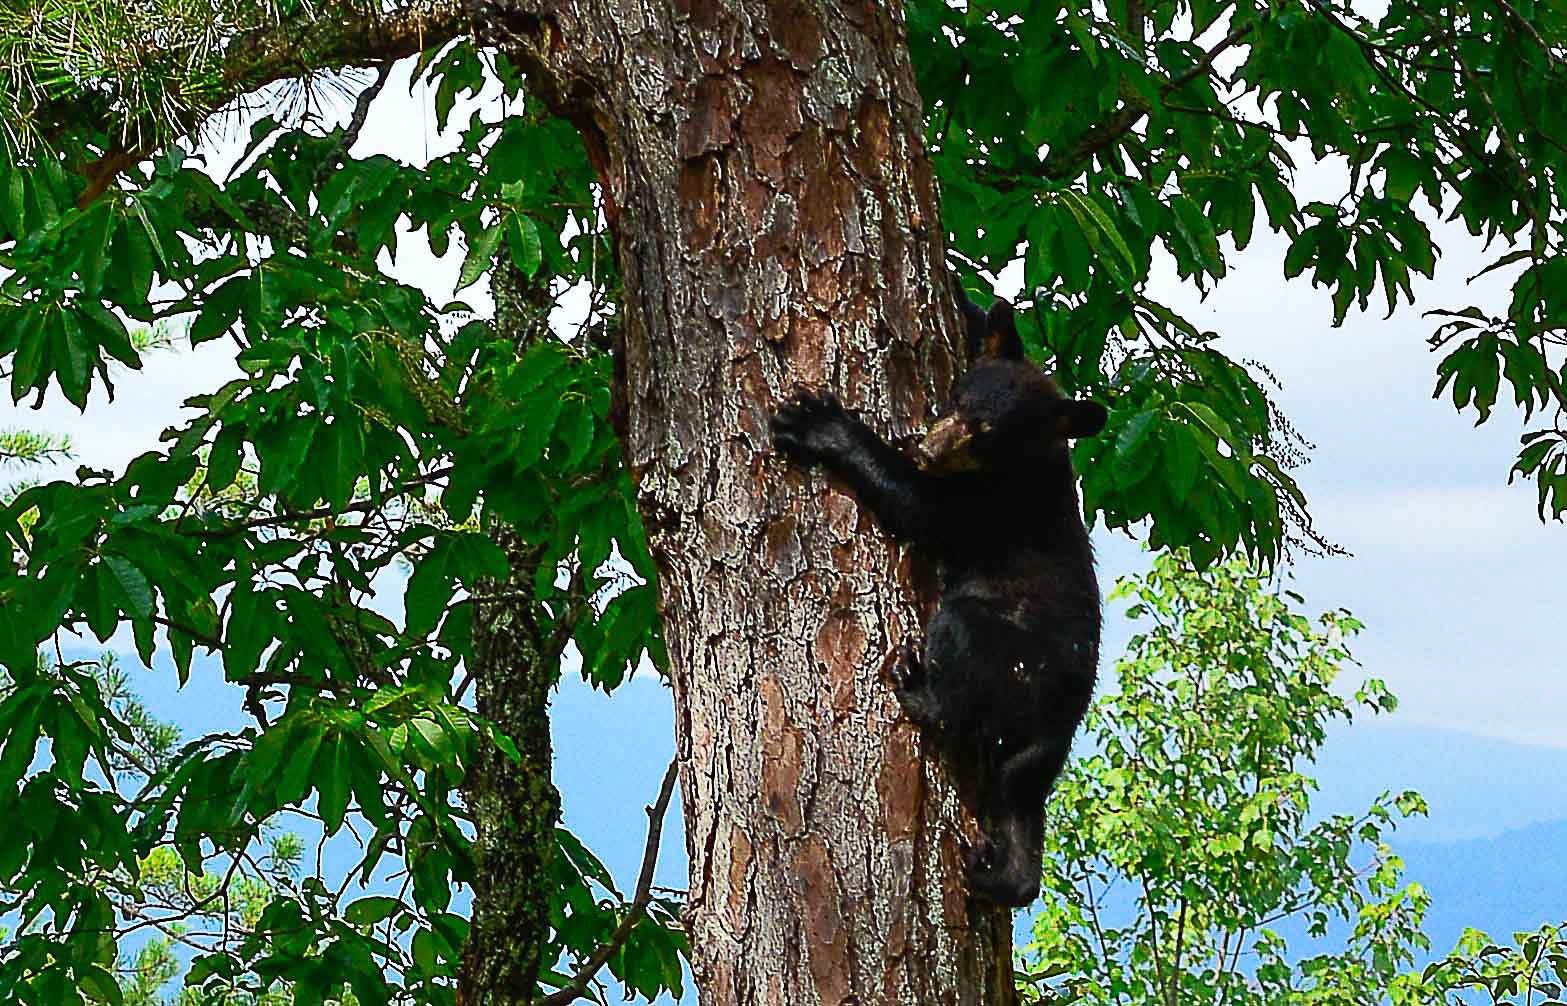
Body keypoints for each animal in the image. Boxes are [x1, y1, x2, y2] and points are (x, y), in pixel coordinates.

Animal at [771, 282, 1107, 907]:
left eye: (988, 434)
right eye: (954, 397)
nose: (927, 448)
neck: (1035, 461)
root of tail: (1063, 720)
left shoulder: (995, 504)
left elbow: (920, 507)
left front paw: (818, 423)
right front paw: (975, 302)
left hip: (1005, 652)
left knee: (960, 662)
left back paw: (916, 686)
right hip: (1032, 751)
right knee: (1017, 795)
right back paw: (1003, 873)